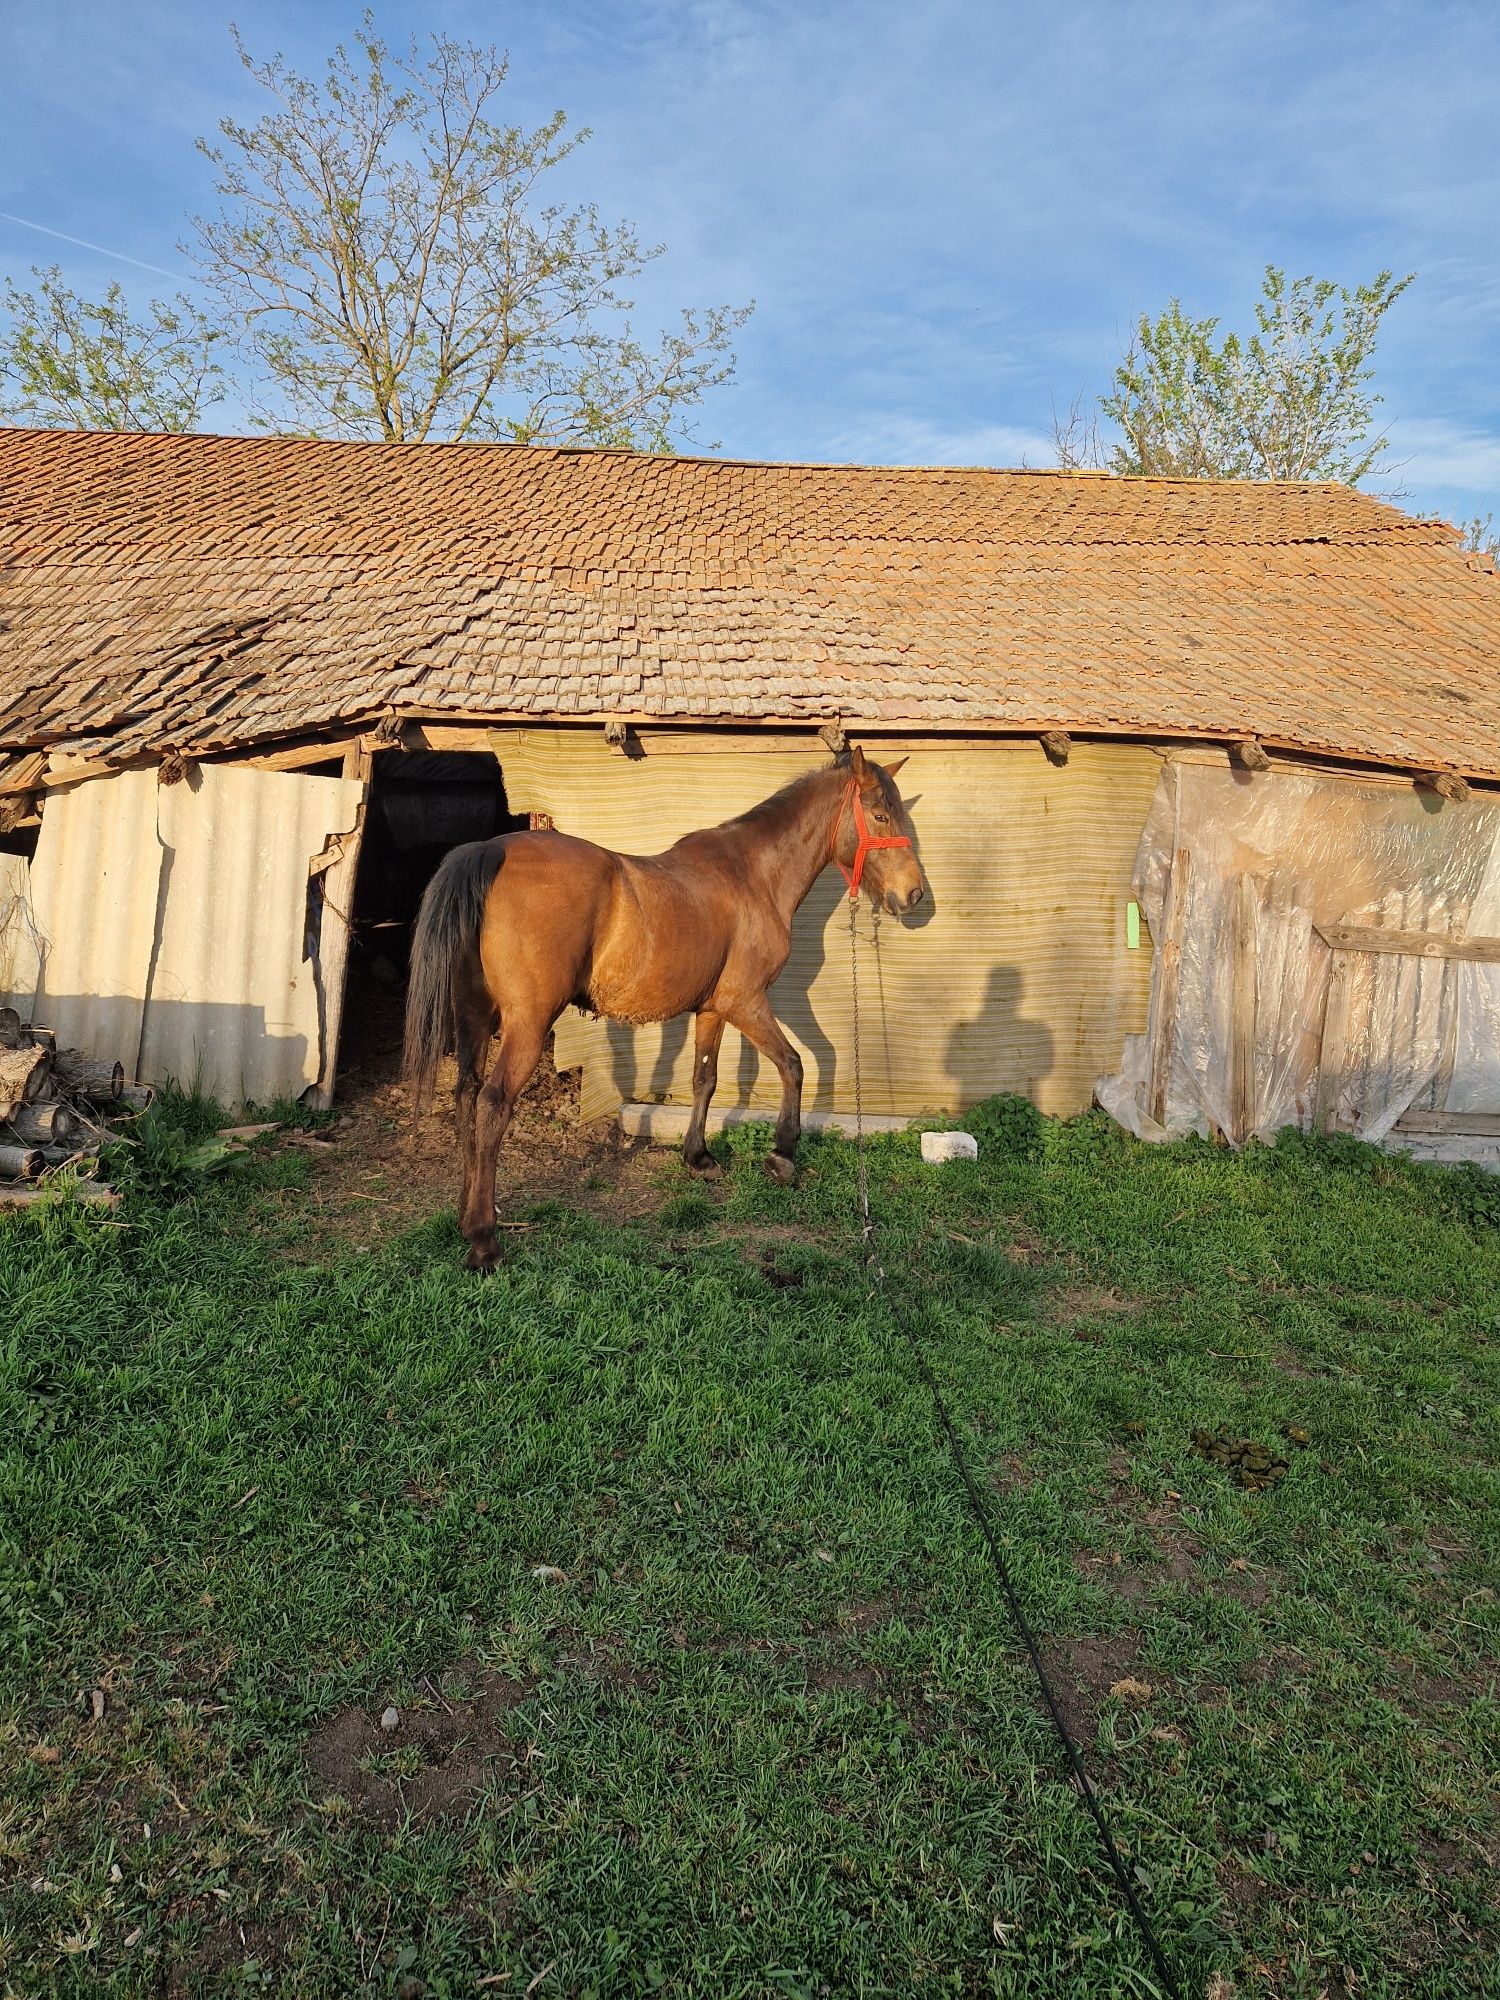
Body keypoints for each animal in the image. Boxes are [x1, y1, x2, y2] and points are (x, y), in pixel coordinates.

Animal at [406, 752, 936, 1264]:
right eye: (880, 815)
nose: (913, 895)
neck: (753, 875)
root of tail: (489, 850)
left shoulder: (713, 1010)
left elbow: (705, 1079)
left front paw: (698, 1157)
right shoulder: (745, 1001)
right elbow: (793, 1065)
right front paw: (783, 1154)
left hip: (475, 1018)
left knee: (466, 1095)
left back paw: (468, 1212)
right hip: (527, 1026)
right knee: (493, 1103)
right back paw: (484, 1240)